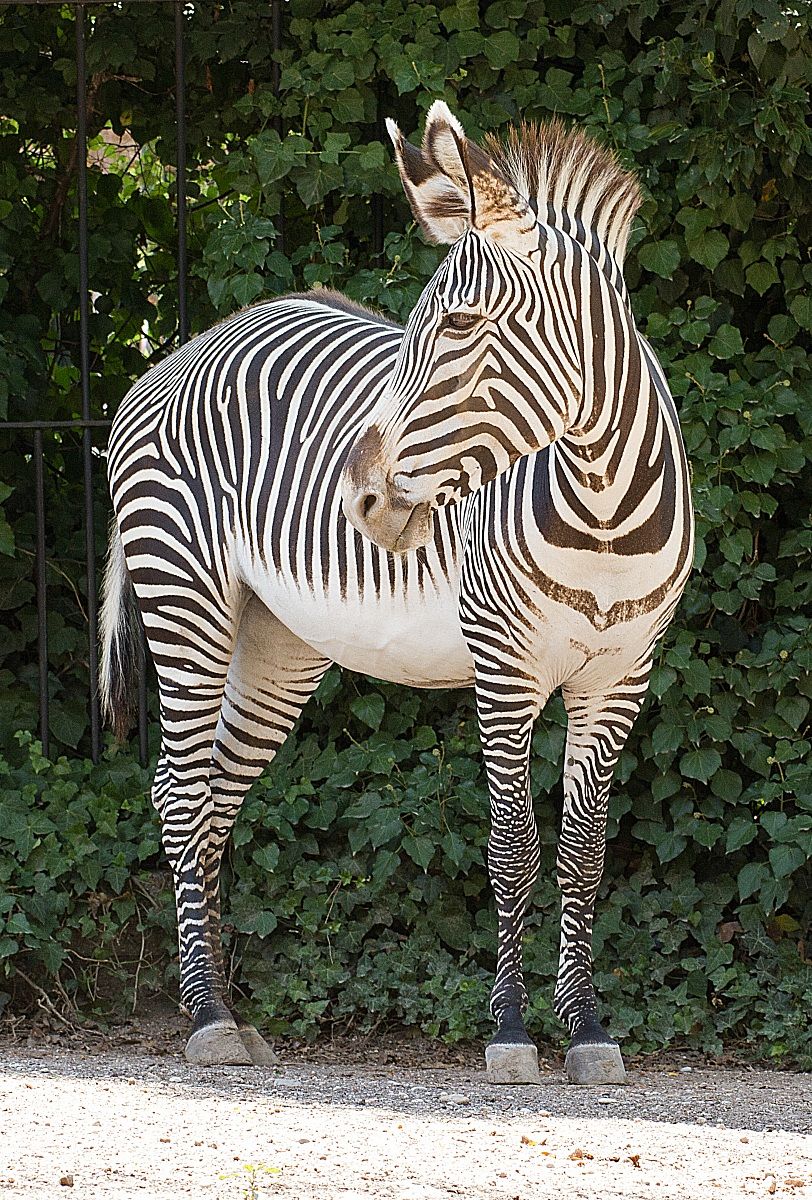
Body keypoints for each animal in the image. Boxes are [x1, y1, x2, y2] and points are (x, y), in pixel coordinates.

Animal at [101, 100, 693, 1086]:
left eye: (457, 324)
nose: (361, 501)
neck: (604, 505)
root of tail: (183, 349)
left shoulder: (620, 676)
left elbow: (582, 852)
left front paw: (588, 1031)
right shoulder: (504, 668)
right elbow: (512, 847)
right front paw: (510, 1032)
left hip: (278, 643)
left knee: (218, 799)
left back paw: (227, 1007)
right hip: (186, 599)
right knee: (180, 795)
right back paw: (209, 1018)